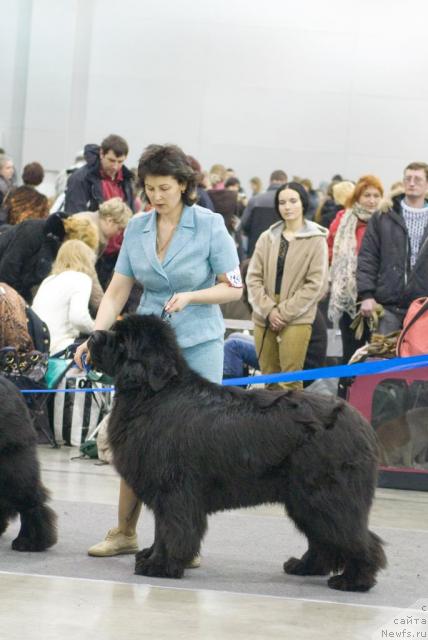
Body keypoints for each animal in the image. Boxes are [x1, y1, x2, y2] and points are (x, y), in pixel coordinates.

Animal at [88, 314, 386, 592]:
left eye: (122, 341)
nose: (92, 336)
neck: (151, 395)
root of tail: (361, 423)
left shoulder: (174, 491)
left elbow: (172, 529)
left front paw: (160, 565)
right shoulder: (166, 492)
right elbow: (162, 530)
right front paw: (152, 556)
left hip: (326, 495)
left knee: (356, 537)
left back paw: (354, 580)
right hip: (304, 500)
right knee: (323, 538)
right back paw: (304, 566)